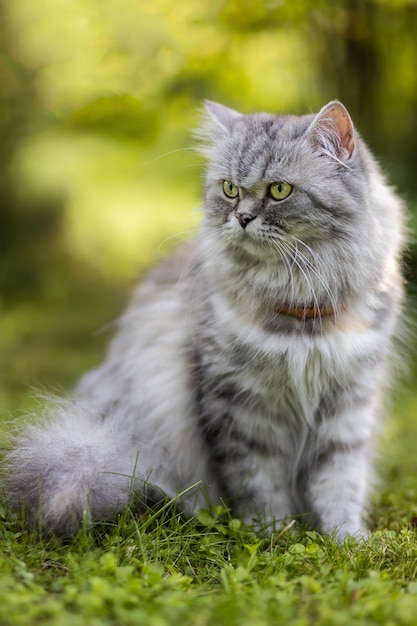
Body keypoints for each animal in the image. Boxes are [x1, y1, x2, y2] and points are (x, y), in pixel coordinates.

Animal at [4, 100, 406, 540]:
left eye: (279, 190)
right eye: (230, 189)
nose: (242, 217)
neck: (300, 314)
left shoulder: (349, 401)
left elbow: (340, 480)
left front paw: (346, 539)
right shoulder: (240, 405)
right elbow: (258, 481)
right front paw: (272, 533)